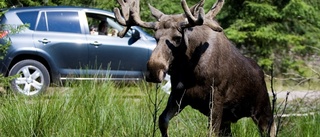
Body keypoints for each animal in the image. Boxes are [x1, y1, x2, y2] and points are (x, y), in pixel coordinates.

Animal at [114, 0, 276, 136]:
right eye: (156, 37)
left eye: (178, 38)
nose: (154, 71)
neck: (188, 68)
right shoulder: (178, 95)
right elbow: (162, 120)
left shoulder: (216, 98)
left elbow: (211, 132)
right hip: (229, 119)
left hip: (263, 111)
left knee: (271, 128)